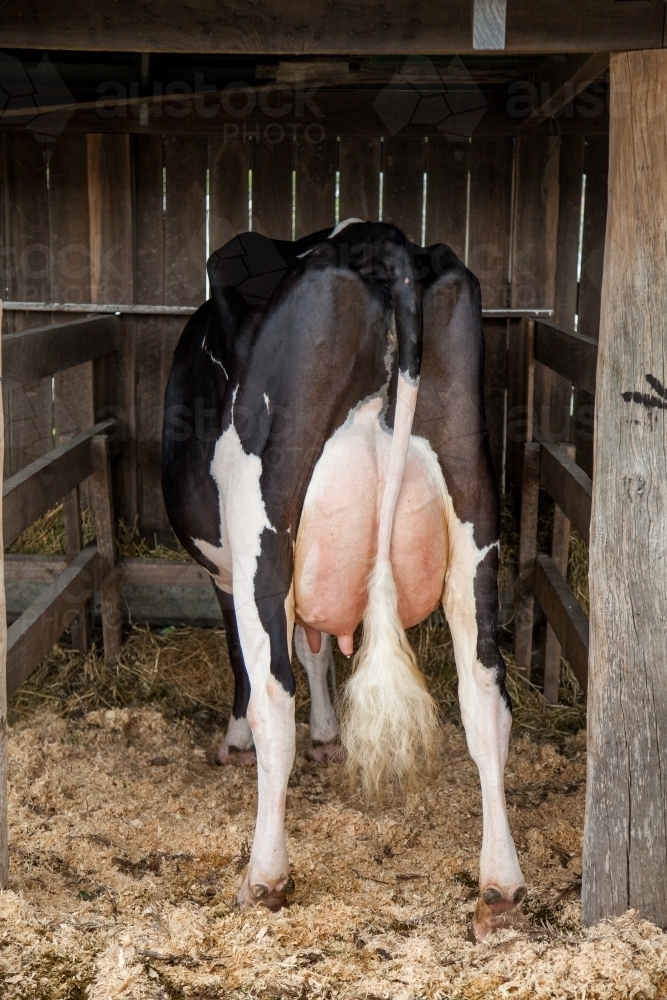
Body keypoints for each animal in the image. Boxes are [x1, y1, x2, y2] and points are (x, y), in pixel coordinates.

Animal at [162, 219, 526, 940]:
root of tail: (376, 241)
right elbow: (320, 645)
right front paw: (329, 737)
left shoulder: (225, 574)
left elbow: (261, 662)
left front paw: (242, 742)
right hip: (476, 523)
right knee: (484, 695)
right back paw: (499, 887)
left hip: (262, 533)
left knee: (272, 699)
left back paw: (264, 876)